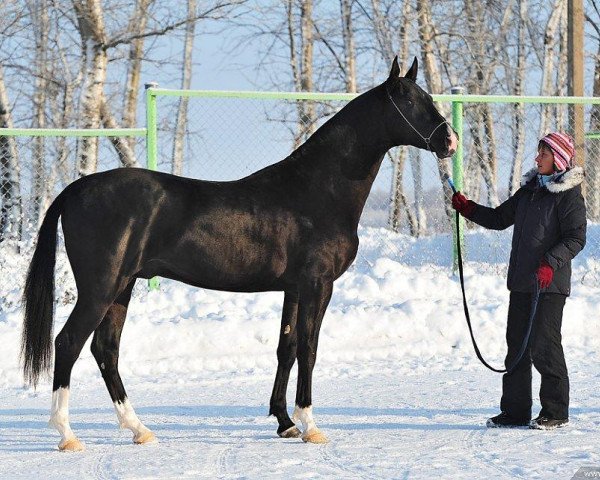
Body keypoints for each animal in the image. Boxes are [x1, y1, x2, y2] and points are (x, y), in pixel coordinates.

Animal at [22, 57, 454, 450]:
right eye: (411, 100)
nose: (448, 142)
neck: (315, 191)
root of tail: (74, 189)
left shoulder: (293, 288)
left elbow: (287, 348)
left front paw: (284, 422)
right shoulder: (318, 285)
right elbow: (310, 349)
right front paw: (310, 425)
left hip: (122, 287)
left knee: (105, 349)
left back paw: (139, 429)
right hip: (101, 288)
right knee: (69, 343)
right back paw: (67, 435)